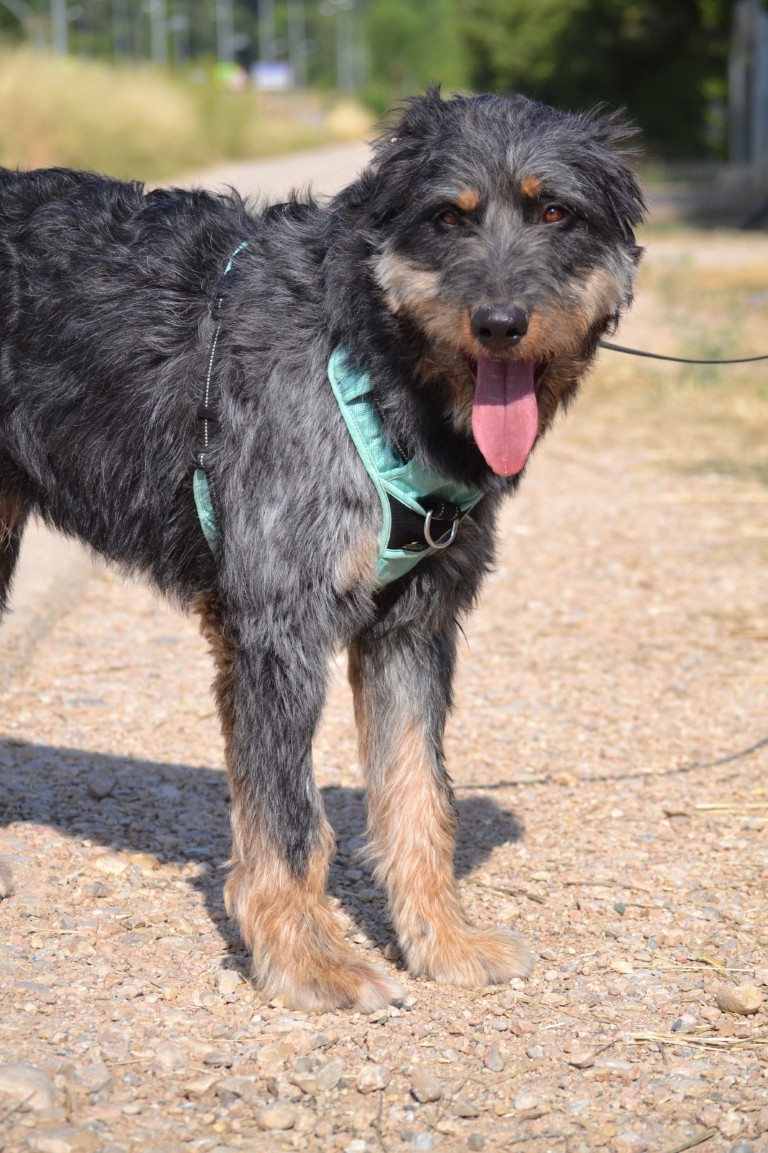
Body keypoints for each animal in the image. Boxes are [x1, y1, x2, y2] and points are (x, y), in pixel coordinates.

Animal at [0, 90, 645, 1011]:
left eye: (556, 211)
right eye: (448, 217)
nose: (499, 324)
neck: (370, 357)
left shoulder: (411, 628)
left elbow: (419, 796)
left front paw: (442, 939)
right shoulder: (278, 625)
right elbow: (291, 821)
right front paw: (309, 960)